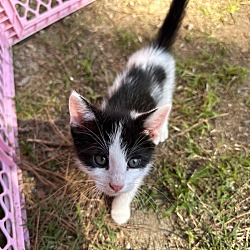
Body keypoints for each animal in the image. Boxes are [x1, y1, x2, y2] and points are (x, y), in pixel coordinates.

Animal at [68, 0, 188, 225]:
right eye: (101, 159)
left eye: (133, 162)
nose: (116, 186)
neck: (122, 110)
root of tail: (157, 49)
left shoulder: (142, 168)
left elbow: (133, 185)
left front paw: (120, 209)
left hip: (169, 83)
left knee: (168, 102)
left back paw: (163, 129)